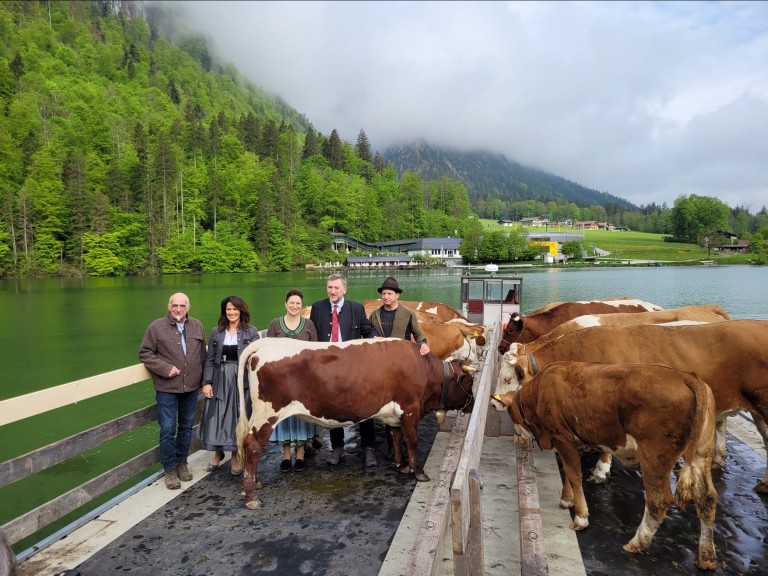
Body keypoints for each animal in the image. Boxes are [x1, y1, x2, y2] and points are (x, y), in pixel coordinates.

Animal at [234, 338, 474, 508]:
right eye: (469, 382)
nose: (471, 405)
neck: (424, 369)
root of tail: (266, 343)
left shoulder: (396, 414)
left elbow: (396, 437)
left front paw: (400, 465)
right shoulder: (410, 410)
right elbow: (412, 440)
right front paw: (418, 472)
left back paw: (254, 483)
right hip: (267, 414)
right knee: (253, 446)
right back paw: (251, 496)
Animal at [496, 362, 716, 568]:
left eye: (511, 415)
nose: (516, 437)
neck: (540, 390)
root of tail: (687, 376)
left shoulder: (562, 436)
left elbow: (574, 475)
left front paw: (581, 518)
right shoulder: (574, 440)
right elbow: (569, 472)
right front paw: (567, 499)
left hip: (655, 457)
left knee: (658, 502)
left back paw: (638, 542)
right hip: (701, 454)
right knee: (707, 498)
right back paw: (706, 556)